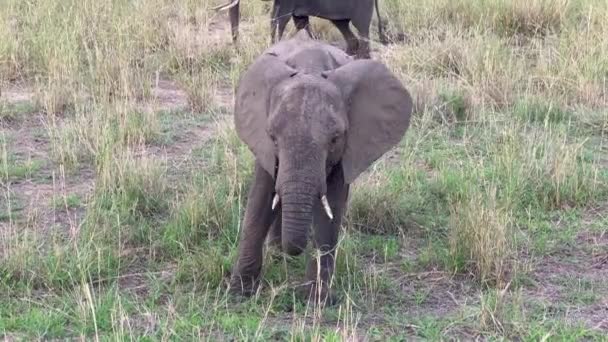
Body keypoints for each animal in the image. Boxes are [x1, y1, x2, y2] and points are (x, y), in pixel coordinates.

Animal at [211, 0, 388, 58]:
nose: (237, 51)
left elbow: (278, 18)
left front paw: (272, 50)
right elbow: (300, 22)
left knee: (362, 28)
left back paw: (361, 58)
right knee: (343, 24)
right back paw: (348, 55)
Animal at [228, 31, 414, 304]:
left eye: (335, 139)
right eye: (272, 137)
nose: (296, 250)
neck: (310, 68)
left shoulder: (349, 149)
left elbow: (331, 209)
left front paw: (316, 301)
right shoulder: (262, 142)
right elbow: (260, 200)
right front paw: (238, 294)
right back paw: (277, 254)